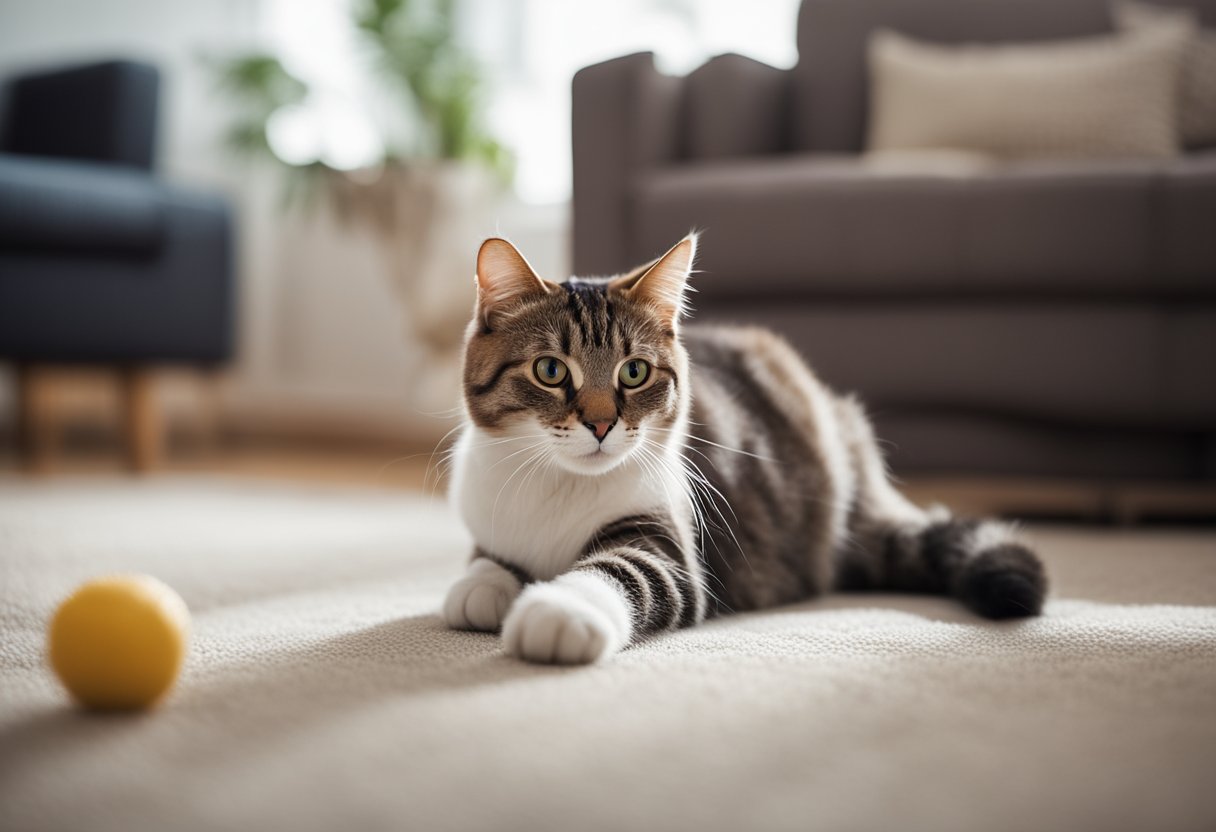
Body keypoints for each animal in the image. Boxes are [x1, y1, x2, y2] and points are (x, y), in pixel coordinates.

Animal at [447, 232, 1045, 661]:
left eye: (634, 372)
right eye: (550, 371)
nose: (600, 424)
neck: (560, 485)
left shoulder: (671, 545)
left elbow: (620, 571)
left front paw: (557, 610)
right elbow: (486, 557)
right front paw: (481, 585)